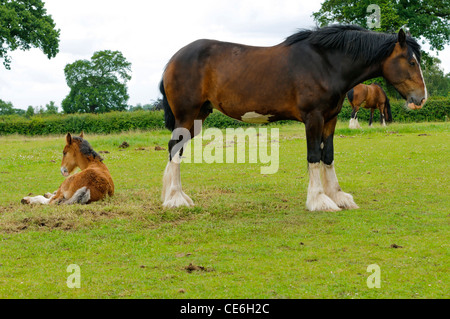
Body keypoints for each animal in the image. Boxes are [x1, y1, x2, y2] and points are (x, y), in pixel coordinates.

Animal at [160, 25, 428, 212]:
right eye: (411, 61)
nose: (421, 98)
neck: (326, 63)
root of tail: (173, 59)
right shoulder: (314, 118)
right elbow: (314, 156)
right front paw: (319, 200)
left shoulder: (330, 119)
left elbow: (328, 155)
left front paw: (338, 196)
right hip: (186, 116)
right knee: (174, 148)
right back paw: (175, 199)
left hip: (198, 117)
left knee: (177, 149)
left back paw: (174, 197)